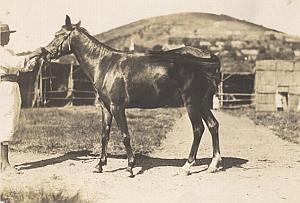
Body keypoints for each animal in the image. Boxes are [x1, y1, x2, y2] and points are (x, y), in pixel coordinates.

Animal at [43, 15, 224, 176]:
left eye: (58, 35)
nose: (46, 53)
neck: (105, 64)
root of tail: (208, 57)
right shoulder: (106, 108)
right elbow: (104, 135)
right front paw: (100, 165)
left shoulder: (117, 107)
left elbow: (125, 135)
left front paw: (130, 166)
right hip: (202, 102)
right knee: (213, 125)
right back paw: (213, 164)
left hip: (191, 103)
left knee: (198, 129)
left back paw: (187, 166)